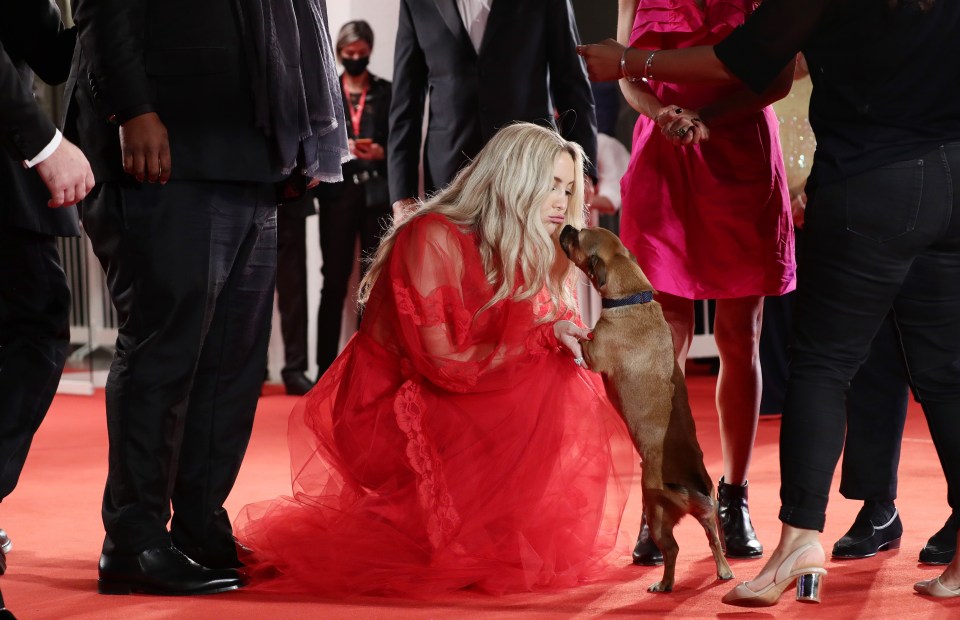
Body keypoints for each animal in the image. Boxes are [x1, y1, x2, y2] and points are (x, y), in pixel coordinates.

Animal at [556, 225, 736, 592]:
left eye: (578, 237)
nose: (566, 227)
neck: (632, 297)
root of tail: (690, 484)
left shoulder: (594, 353)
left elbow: (581, 338)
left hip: (654, 513)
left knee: (673, 549)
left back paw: (664, 584)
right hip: (707, 514)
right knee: (713, 539)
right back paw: (723, 571)